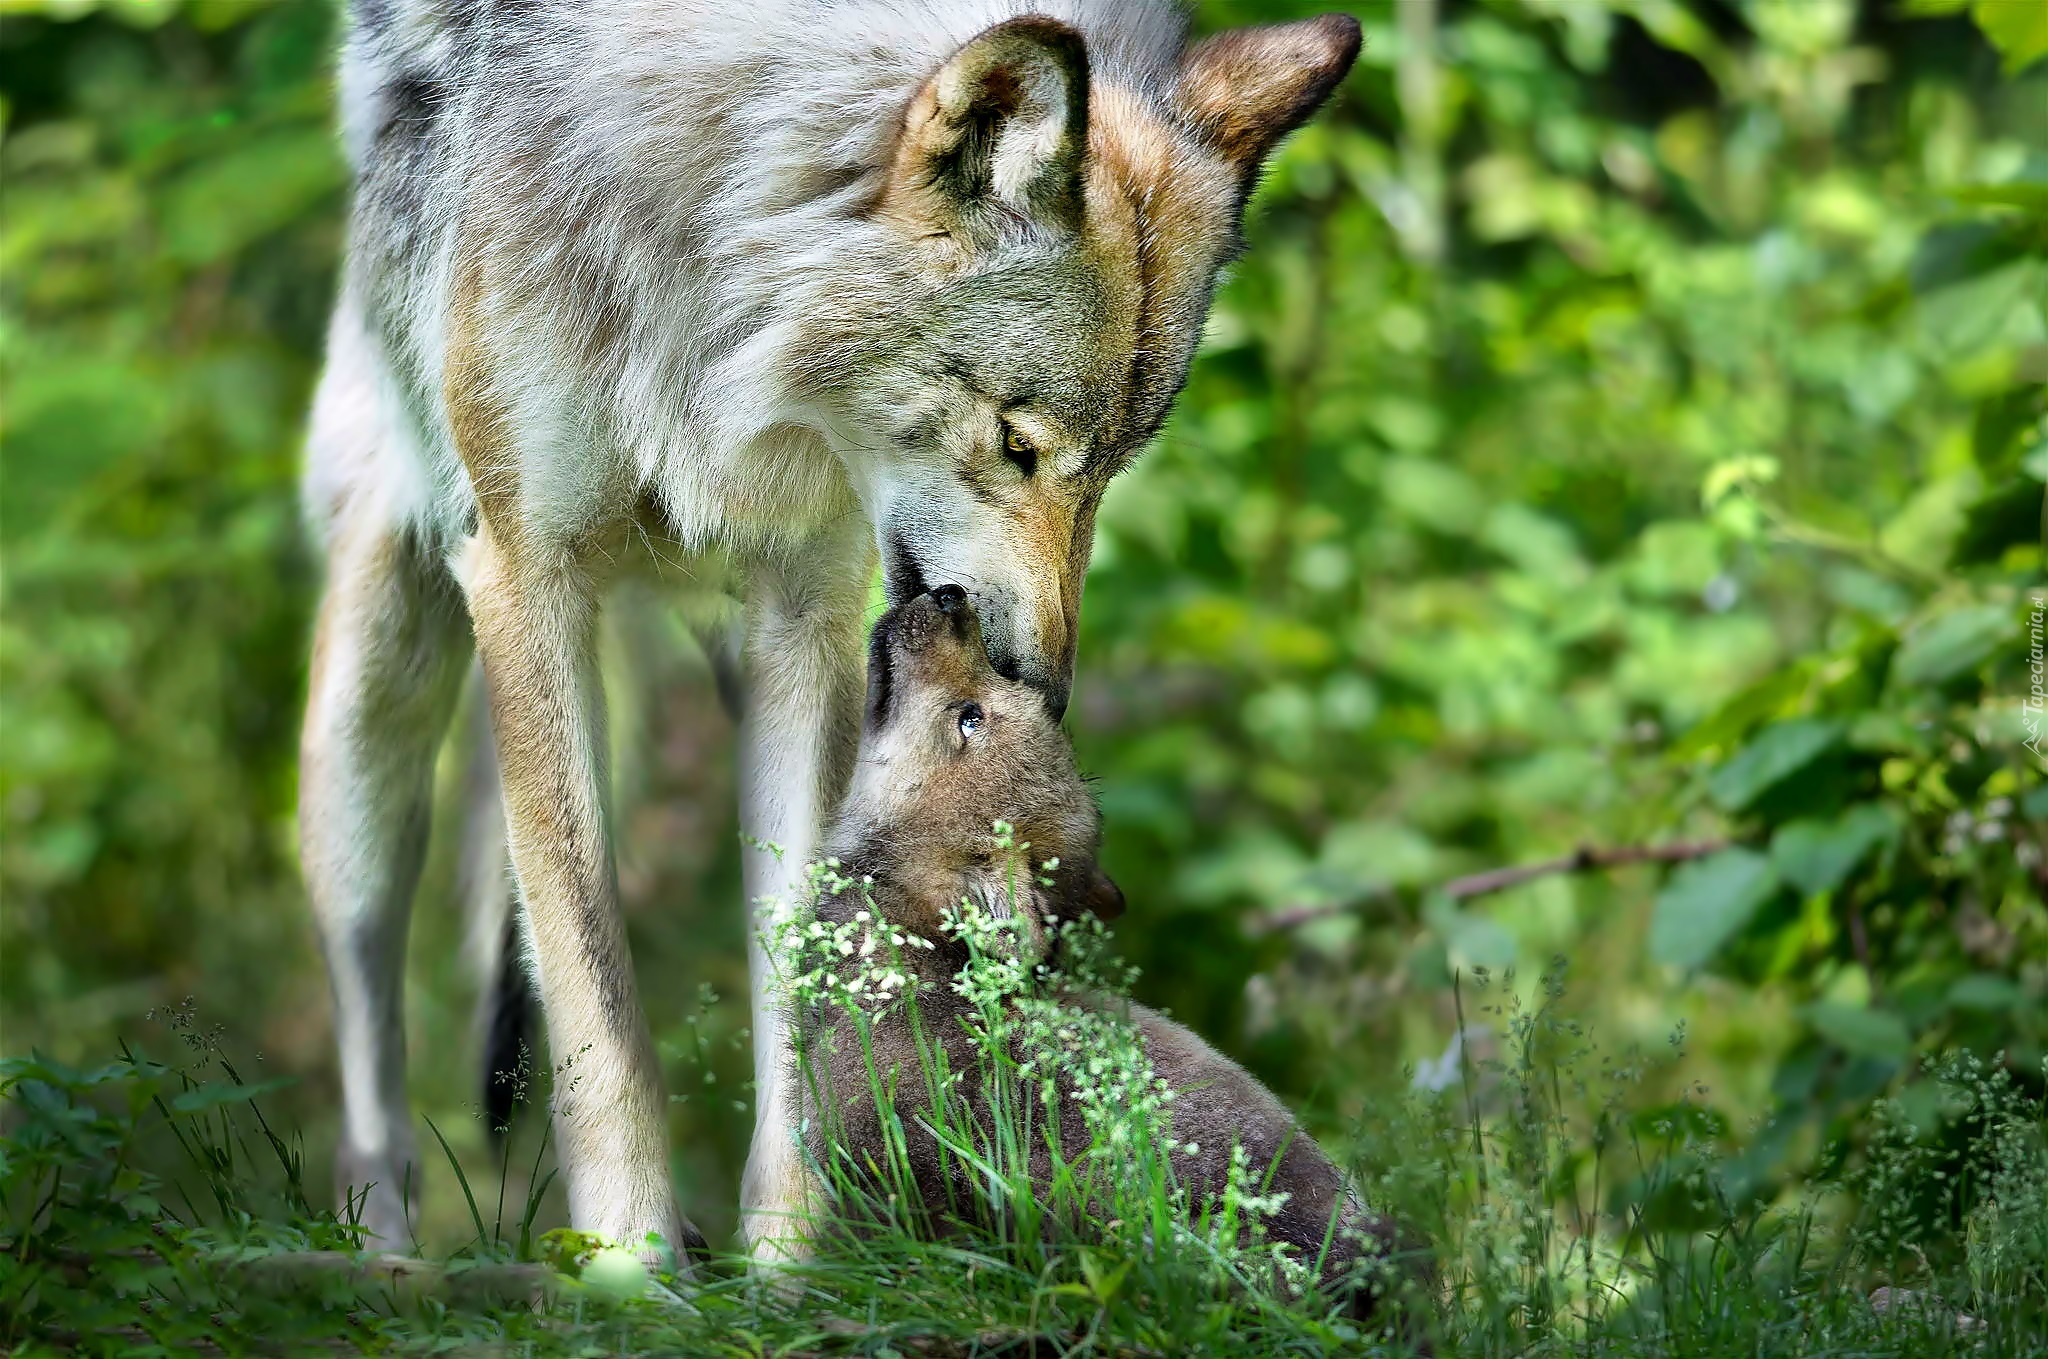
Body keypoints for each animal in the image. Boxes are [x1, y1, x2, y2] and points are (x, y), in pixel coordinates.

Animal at [303, 0, 1359, 1260]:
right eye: (1016, 443)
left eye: (1112, 466)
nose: (1042, 688)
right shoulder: (526, 579)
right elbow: (599, 1018)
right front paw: (633, 1270)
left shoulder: (804, 616)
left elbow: (806, 992)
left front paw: (785, 1267)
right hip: (375, 713)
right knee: (371, 1069)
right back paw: (384, 1263)